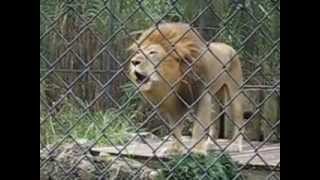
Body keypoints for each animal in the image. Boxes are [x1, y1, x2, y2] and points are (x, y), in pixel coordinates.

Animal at [127, 22, 245, 155]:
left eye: (152, 52)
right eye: (138, 52)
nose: (134, 61)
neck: (176, 76)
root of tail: (229, 47)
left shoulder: (202, 95)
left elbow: (199, 126)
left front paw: (198, 151)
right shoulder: (175, 102)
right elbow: (175, 128)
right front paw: (175, 149)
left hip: (235, 91)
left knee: (238, 119)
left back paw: (236, 146)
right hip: (215, 96)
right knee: (214, 119)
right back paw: (210, 144)